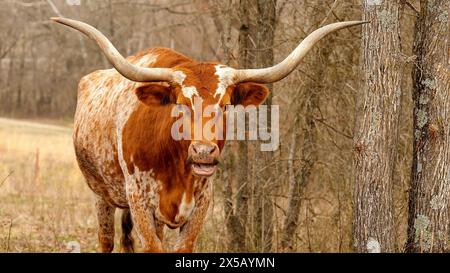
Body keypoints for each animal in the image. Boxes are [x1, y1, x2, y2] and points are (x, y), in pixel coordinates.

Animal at [51, 17, 364, 252]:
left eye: (225, 105)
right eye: (180, 103)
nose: (203, 151)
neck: (176, 169)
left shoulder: (201, 202)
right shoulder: (139, 198)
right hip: (101, 194)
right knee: (106, 240)